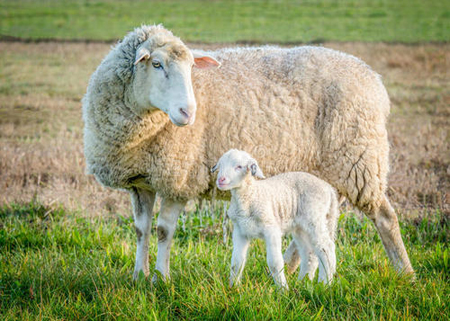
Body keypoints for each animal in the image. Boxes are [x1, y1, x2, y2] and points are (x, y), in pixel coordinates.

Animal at [211, 149, 338, 288]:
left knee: (326, 248)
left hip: (315, 217)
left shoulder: (271, 229)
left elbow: (275, 263)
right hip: (300, 227)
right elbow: (236, 262)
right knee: (309, 253)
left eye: (239, 166)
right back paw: (303, 282)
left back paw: (325, 283)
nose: (221, 179)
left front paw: (283, 288)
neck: (250, 196)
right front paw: (234, 287)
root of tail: (329, 189)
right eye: (220, 166)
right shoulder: (240, 231)